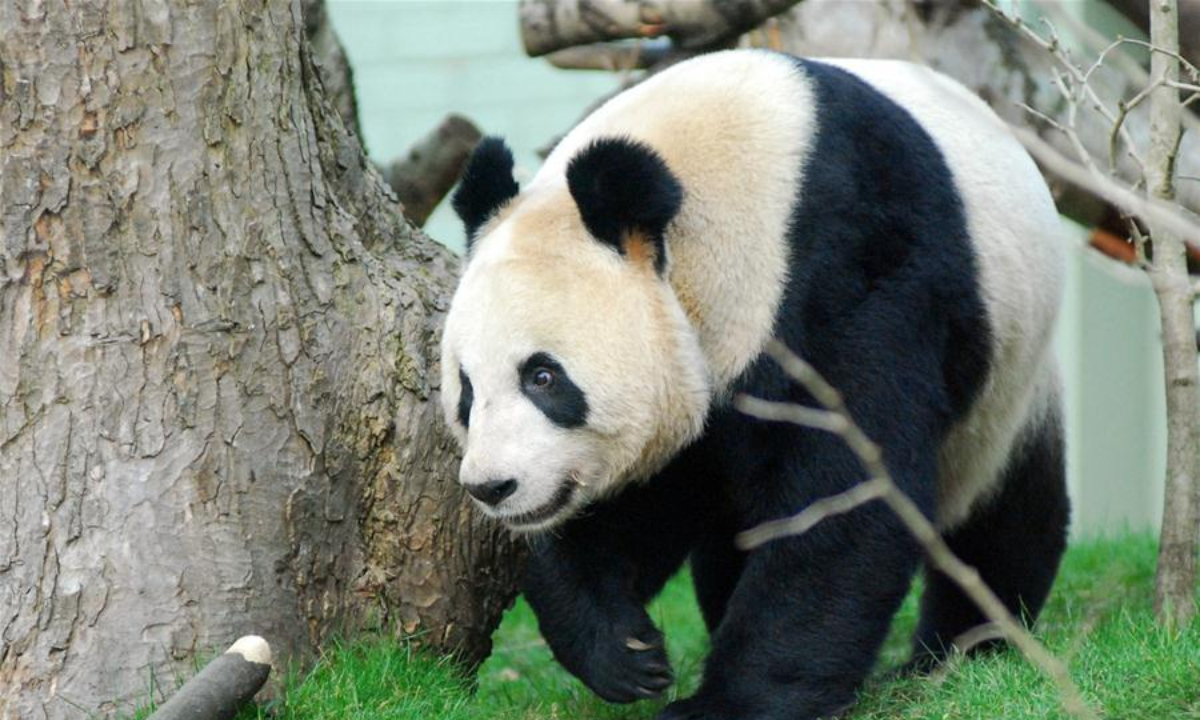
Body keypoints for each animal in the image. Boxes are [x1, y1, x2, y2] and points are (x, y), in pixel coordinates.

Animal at [441, 50, 1070, 720]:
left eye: (543, 376)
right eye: (466, 391)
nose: (492, 487)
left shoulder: (847, 269)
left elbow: (843, 495)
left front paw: (729, 702)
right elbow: (642, 500)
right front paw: (625, 652)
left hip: (1010, 380)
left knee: (1004, 517)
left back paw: (961, 650)